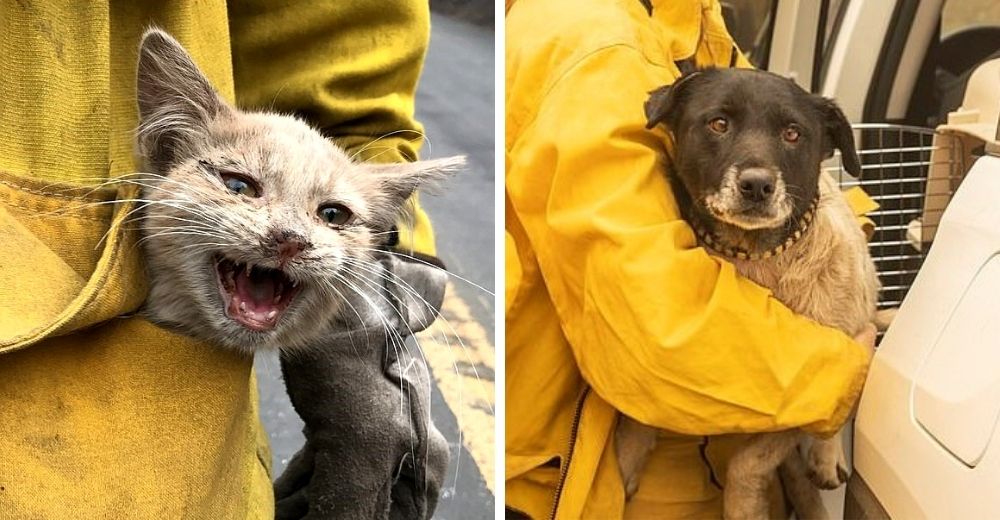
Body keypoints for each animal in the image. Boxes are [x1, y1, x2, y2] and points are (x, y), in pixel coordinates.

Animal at [612, 67, 880, 516]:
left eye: (793, 133)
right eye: (719, 123)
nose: (757, 185)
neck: (755, 257)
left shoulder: (806, 393)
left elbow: (747, 462)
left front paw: (744, 507)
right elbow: (638, 420)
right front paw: (622, 469)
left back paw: (827, 458)